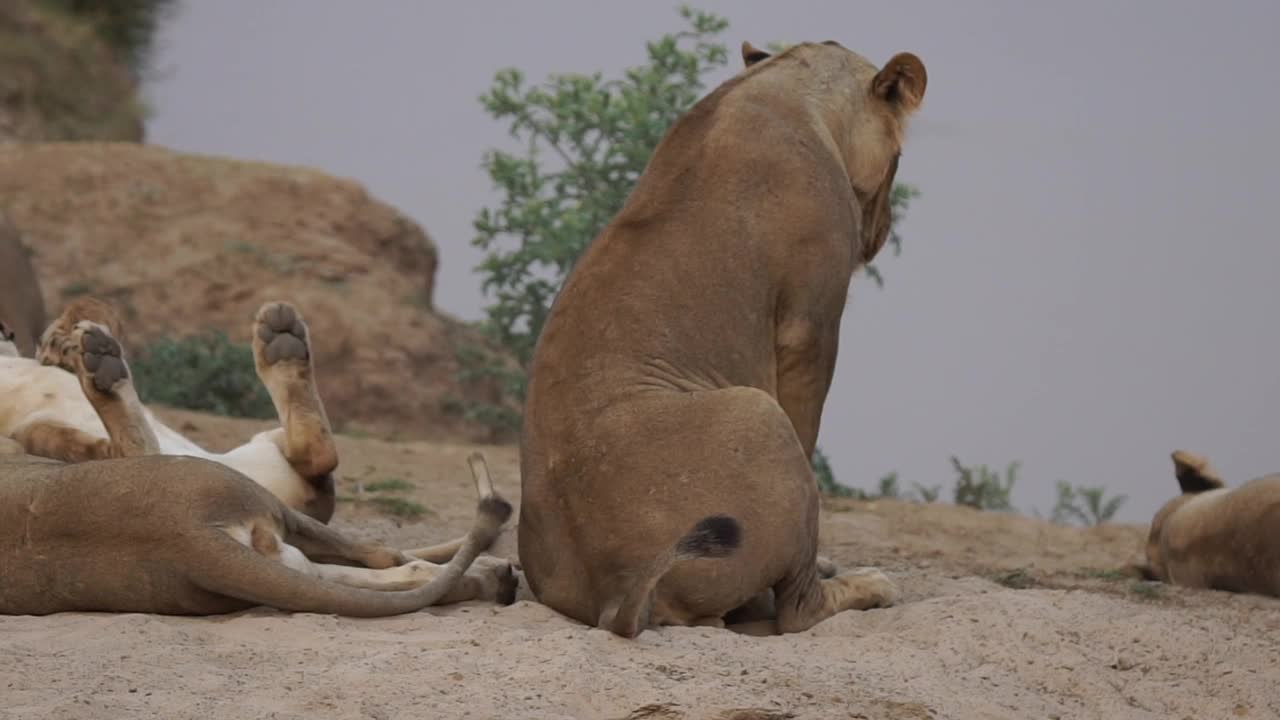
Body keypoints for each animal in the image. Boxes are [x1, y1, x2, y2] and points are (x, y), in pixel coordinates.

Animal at [519, 40, 931, 632]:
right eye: (898, 158)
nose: (881, 231)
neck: (790, 84)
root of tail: (615, 594)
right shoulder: (812, 323)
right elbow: (810, 444)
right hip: (758, 411)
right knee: (797, 610)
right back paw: (868, 585)